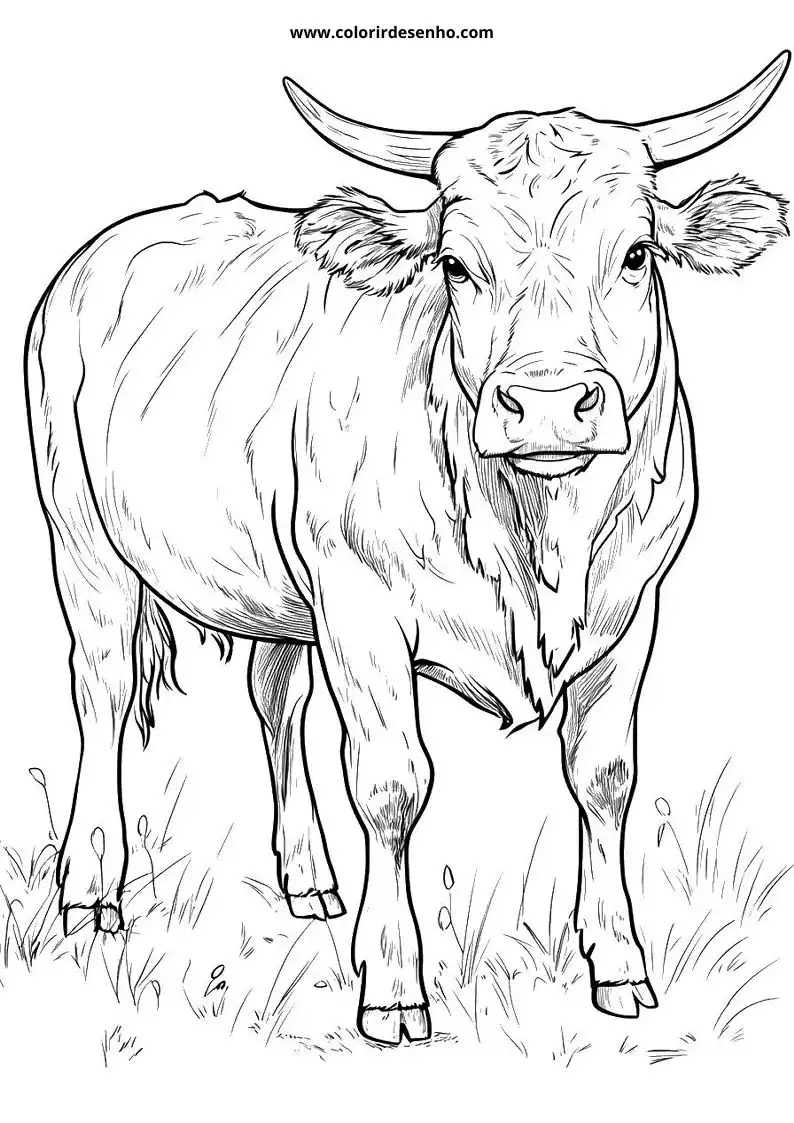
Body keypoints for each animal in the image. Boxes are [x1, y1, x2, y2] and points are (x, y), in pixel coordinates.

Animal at [25, 53, 788, 1045]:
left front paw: (619, 965)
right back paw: (90, 888)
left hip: (279, 595)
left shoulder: (630, 612)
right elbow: (392, 782)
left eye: (636, 254)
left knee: (275, 700)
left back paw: (308, 877)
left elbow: (605, 775)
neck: (537, 531)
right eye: (457, 265)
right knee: (104, 687)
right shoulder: (362, 610)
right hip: (83, 540)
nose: (549, 403)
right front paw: (391, 984)